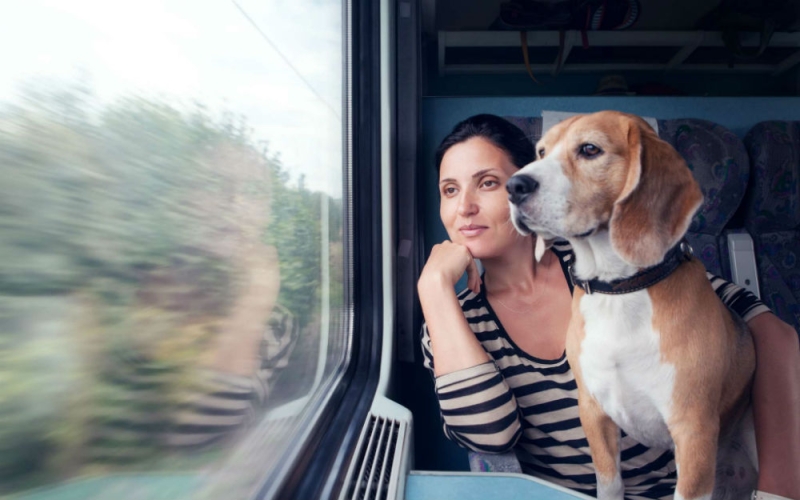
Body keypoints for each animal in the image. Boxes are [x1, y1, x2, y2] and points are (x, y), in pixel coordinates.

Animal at [506, 110, 756, 500]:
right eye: (541, 151)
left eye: (589, 149)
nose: (513, 186)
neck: (618, 290)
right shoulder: (593, 412)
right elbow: (608, 483)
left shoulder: (694, 431)